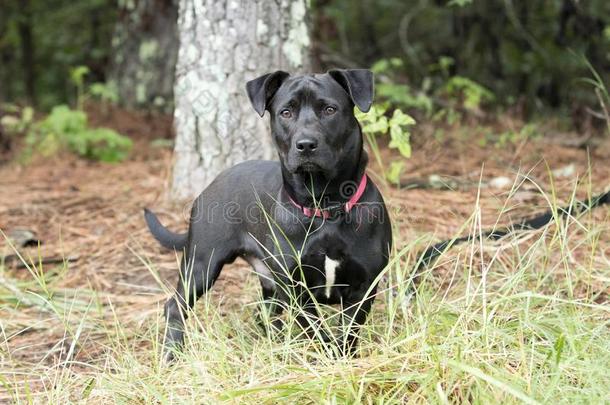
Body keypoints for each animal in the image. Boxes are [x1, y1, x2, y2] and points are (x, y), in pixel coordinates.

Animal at [145, 69, 392, 360]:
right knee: (175, 306)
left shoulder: (363, 287)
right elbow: (319, 332)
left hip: (266, 284)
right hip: (201, 265)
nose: (305, 144)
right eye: (286, 112)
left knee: (262, 314)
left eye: (330, 109)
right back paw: (172, 354)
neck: (325, 207)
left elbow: (347, 334)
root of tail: (211, 185)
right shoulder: (296, 291)